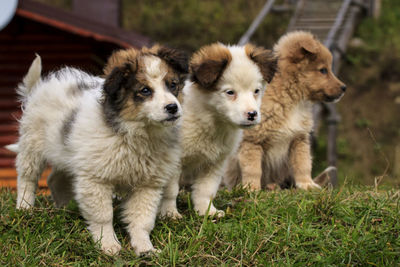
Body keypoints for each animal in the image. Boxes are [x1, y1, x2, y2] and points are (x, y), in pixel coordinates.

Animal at [10, 45, 188, 256]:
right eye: (145, 90)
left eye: (173, 85)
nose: (173, 108)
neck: (137, 132)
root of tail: (40, 87)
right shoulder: (96, 179)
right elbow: (103, 215)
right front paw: (107, 244)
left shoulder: (148, 185)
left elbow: (142, 219)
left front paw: (145, 248)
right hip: (32, 146)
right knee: (27, 178)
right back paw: (24, 207)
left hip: (67, 152)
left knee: (55, 179)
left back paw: (64, 209)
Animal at [158, 43, 276, 218]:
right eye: (230, 92)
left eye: (256, 91)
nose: (252, 115)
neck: (212, 121)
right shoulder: (173, 162)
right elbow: (170, 191)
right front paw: (169, 213)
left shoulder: (214, 162)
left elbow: (205, 190)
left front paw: (207, 212)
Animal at [223, 30, 346, 191]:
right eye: (323, 70)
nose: (344, 88)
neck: (292, 100)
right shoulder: (252, 141)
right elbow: (253, 169)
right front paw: (252, 189)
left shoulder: (299, 139)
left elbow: (303, 164)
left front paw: (307, 184)